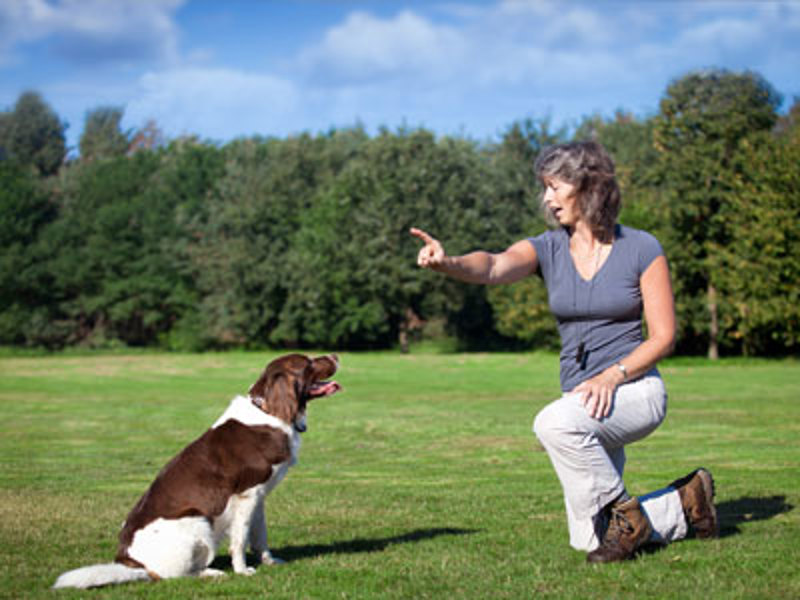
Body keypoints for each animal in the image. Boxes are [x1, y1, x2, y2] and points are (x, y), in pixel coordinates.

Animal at [52, 354, 340, 588]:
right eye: (308, 363)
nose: (336, 356)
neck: (268, 410)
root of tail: (131, 562)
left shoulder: (259, 496)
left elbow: (260, 535)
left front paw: (268, 561)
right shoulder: (246, 494)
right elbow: (240, 539)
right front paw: (243, 570)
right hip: (197, 521)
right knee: (170, 575)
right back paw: (211, 573)